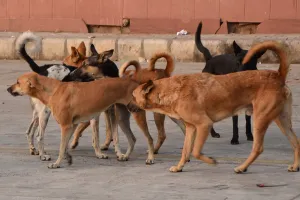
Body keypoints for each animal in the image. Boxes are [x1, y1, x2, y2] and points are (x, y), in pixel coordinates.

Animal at [6, 72, 138, 168]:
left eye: (18, 82)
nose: (8, 89)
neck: (53, 90)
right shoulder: (70, 125)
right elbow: (65, 145)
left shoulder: (70, 125)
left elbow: (64, 146)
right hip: (43, 115)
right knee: (37, 135)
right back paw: (41, 154)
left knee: (34, 134)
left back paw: (37, 151)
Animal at [131, 41, 300, 173]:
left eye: (132, 96)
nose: (129, 107)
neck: (172, 90)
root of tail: (278, 75)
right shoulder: (191, 128)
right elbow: (186, 151)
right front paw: (179, 167)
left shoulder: (204, 125)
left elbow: (196, 151)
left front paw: (212, 161)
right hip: (282, 120)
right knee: (296, 142)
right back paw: (295, 166)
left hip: (260, 119)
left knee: (258, 148)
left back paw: (242, 167)